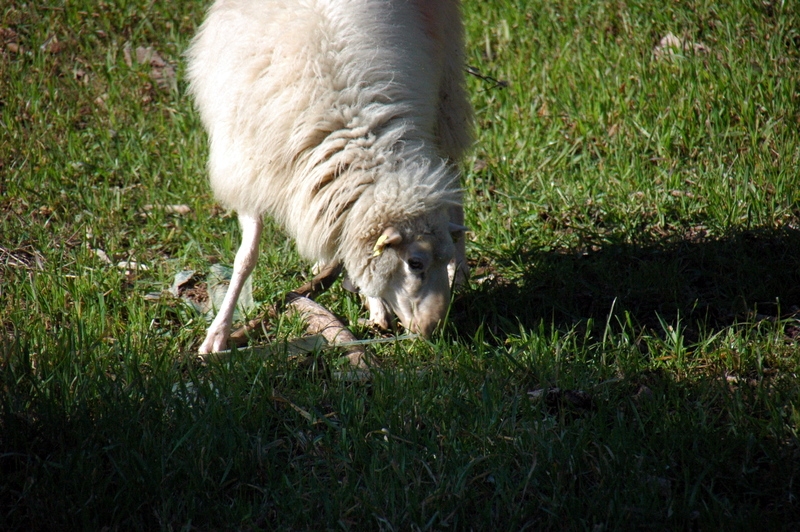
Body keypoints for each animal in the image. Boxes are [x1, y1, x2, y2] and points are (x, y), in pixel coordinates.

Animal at [186, 1, 476, 358]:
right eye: (415, 263)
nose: (434, 329)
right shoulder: (249, 174)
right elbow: (246, 258)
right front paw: (218, 333)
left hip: (446, 83)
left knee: (454, 177)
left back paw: (459, 270)